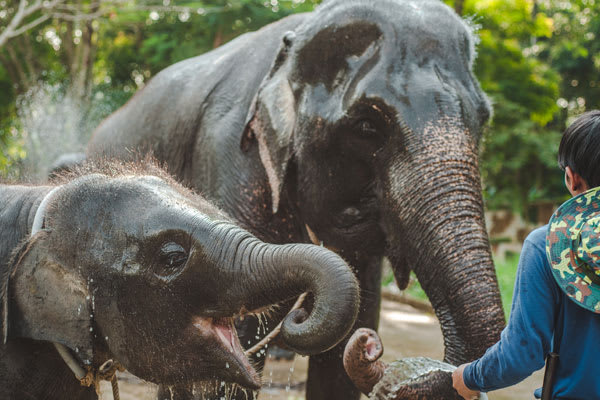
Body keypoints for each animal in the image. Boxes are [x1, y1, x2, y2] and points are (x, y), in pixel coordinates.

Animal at [85, 1, 506, 398]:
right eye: (367, 126)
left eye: (484, 120)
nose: (372, 348)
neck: (299, 34)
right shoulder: (229, 154)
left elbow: (342, 352)